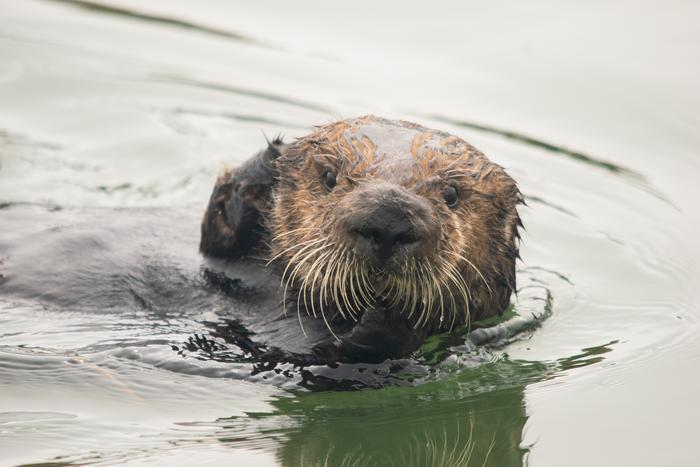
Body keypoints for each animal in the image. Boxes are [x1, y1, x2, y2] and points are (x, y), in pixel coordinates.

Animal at [198, 115, 520, 364]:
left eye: (452, 194)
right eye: (329, 177)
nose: (389, 218)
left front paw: (394, 315)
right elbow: (217, 231)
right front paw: (270, 159)